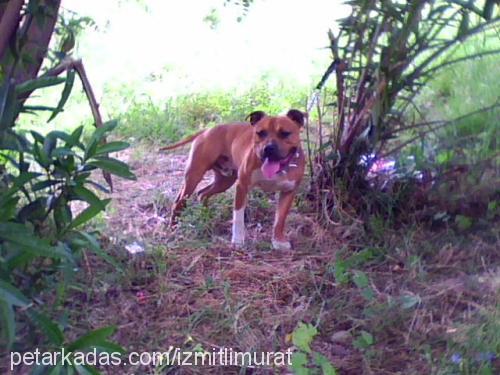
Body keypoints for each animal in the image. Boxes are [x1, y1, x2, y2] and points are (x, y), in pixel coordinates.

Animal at [162, 108, 306, 251]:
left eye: (285, 133)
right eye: (260, 133)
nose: (268, 148)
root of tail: (206, 131)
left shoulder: (288, 192)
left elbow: (280, 219)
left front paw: (278, 241)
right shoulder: (242, 186)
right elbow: (238, 217)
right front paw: (237, 240)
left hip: (224, 181)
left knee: (202, 194)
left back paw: (206, 218)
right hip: (194, 176)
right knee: (179, 202)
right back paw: (173, 228)